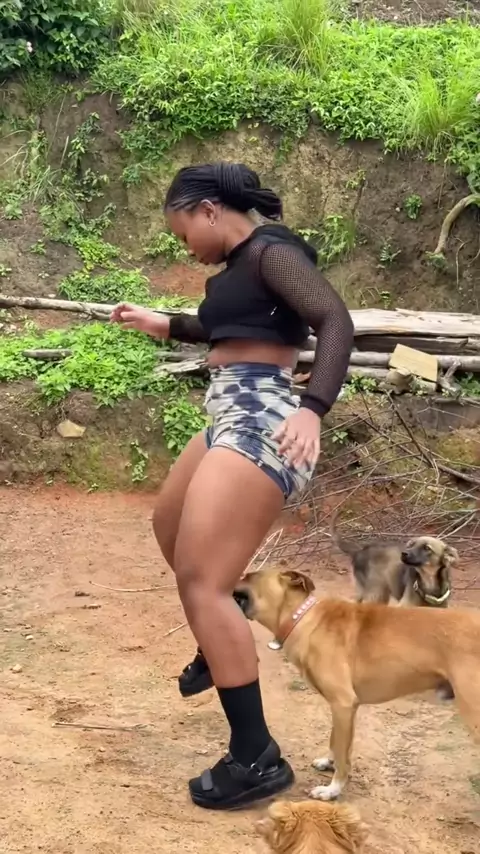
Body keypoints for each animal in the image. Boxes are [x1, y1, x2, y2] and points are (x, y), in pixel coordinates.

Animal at [235, 568, 480, 801]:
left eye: (249, 576)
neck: (304, 619)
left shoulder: (343, 704)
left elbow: (342, 755)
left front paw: (332, 790)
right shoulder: (343, 708)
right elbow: (336, 742)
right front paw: (329, 762)